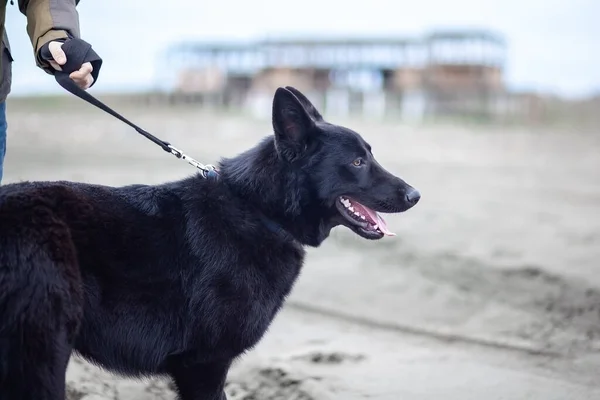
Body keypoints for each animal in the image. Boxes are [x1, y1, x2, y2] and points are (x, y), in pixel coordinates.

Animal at [0, 86, 420, 398]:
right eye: (357, 162)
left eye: (368, 156)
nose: (416, 195)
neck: (257, 210)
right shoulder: (203, 366)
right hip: (43, 352)